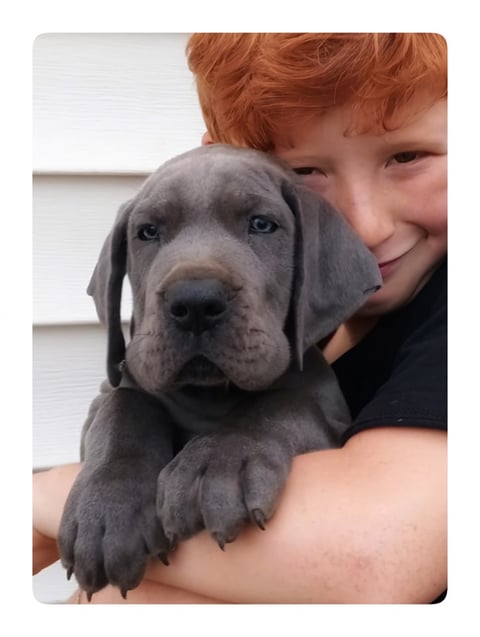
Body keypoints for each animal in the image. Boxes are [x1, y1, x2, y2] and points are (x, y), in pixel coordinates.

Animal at [58, 143, 380, 596]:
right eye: (148, 232)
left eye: (262, 224)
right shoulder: (110, 394)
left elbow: (279, 406)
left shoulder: (327, 413)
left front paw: (219, 464)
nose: (195, 303)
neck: (208, 394)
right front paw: (106, 510)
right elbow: (123, 410)